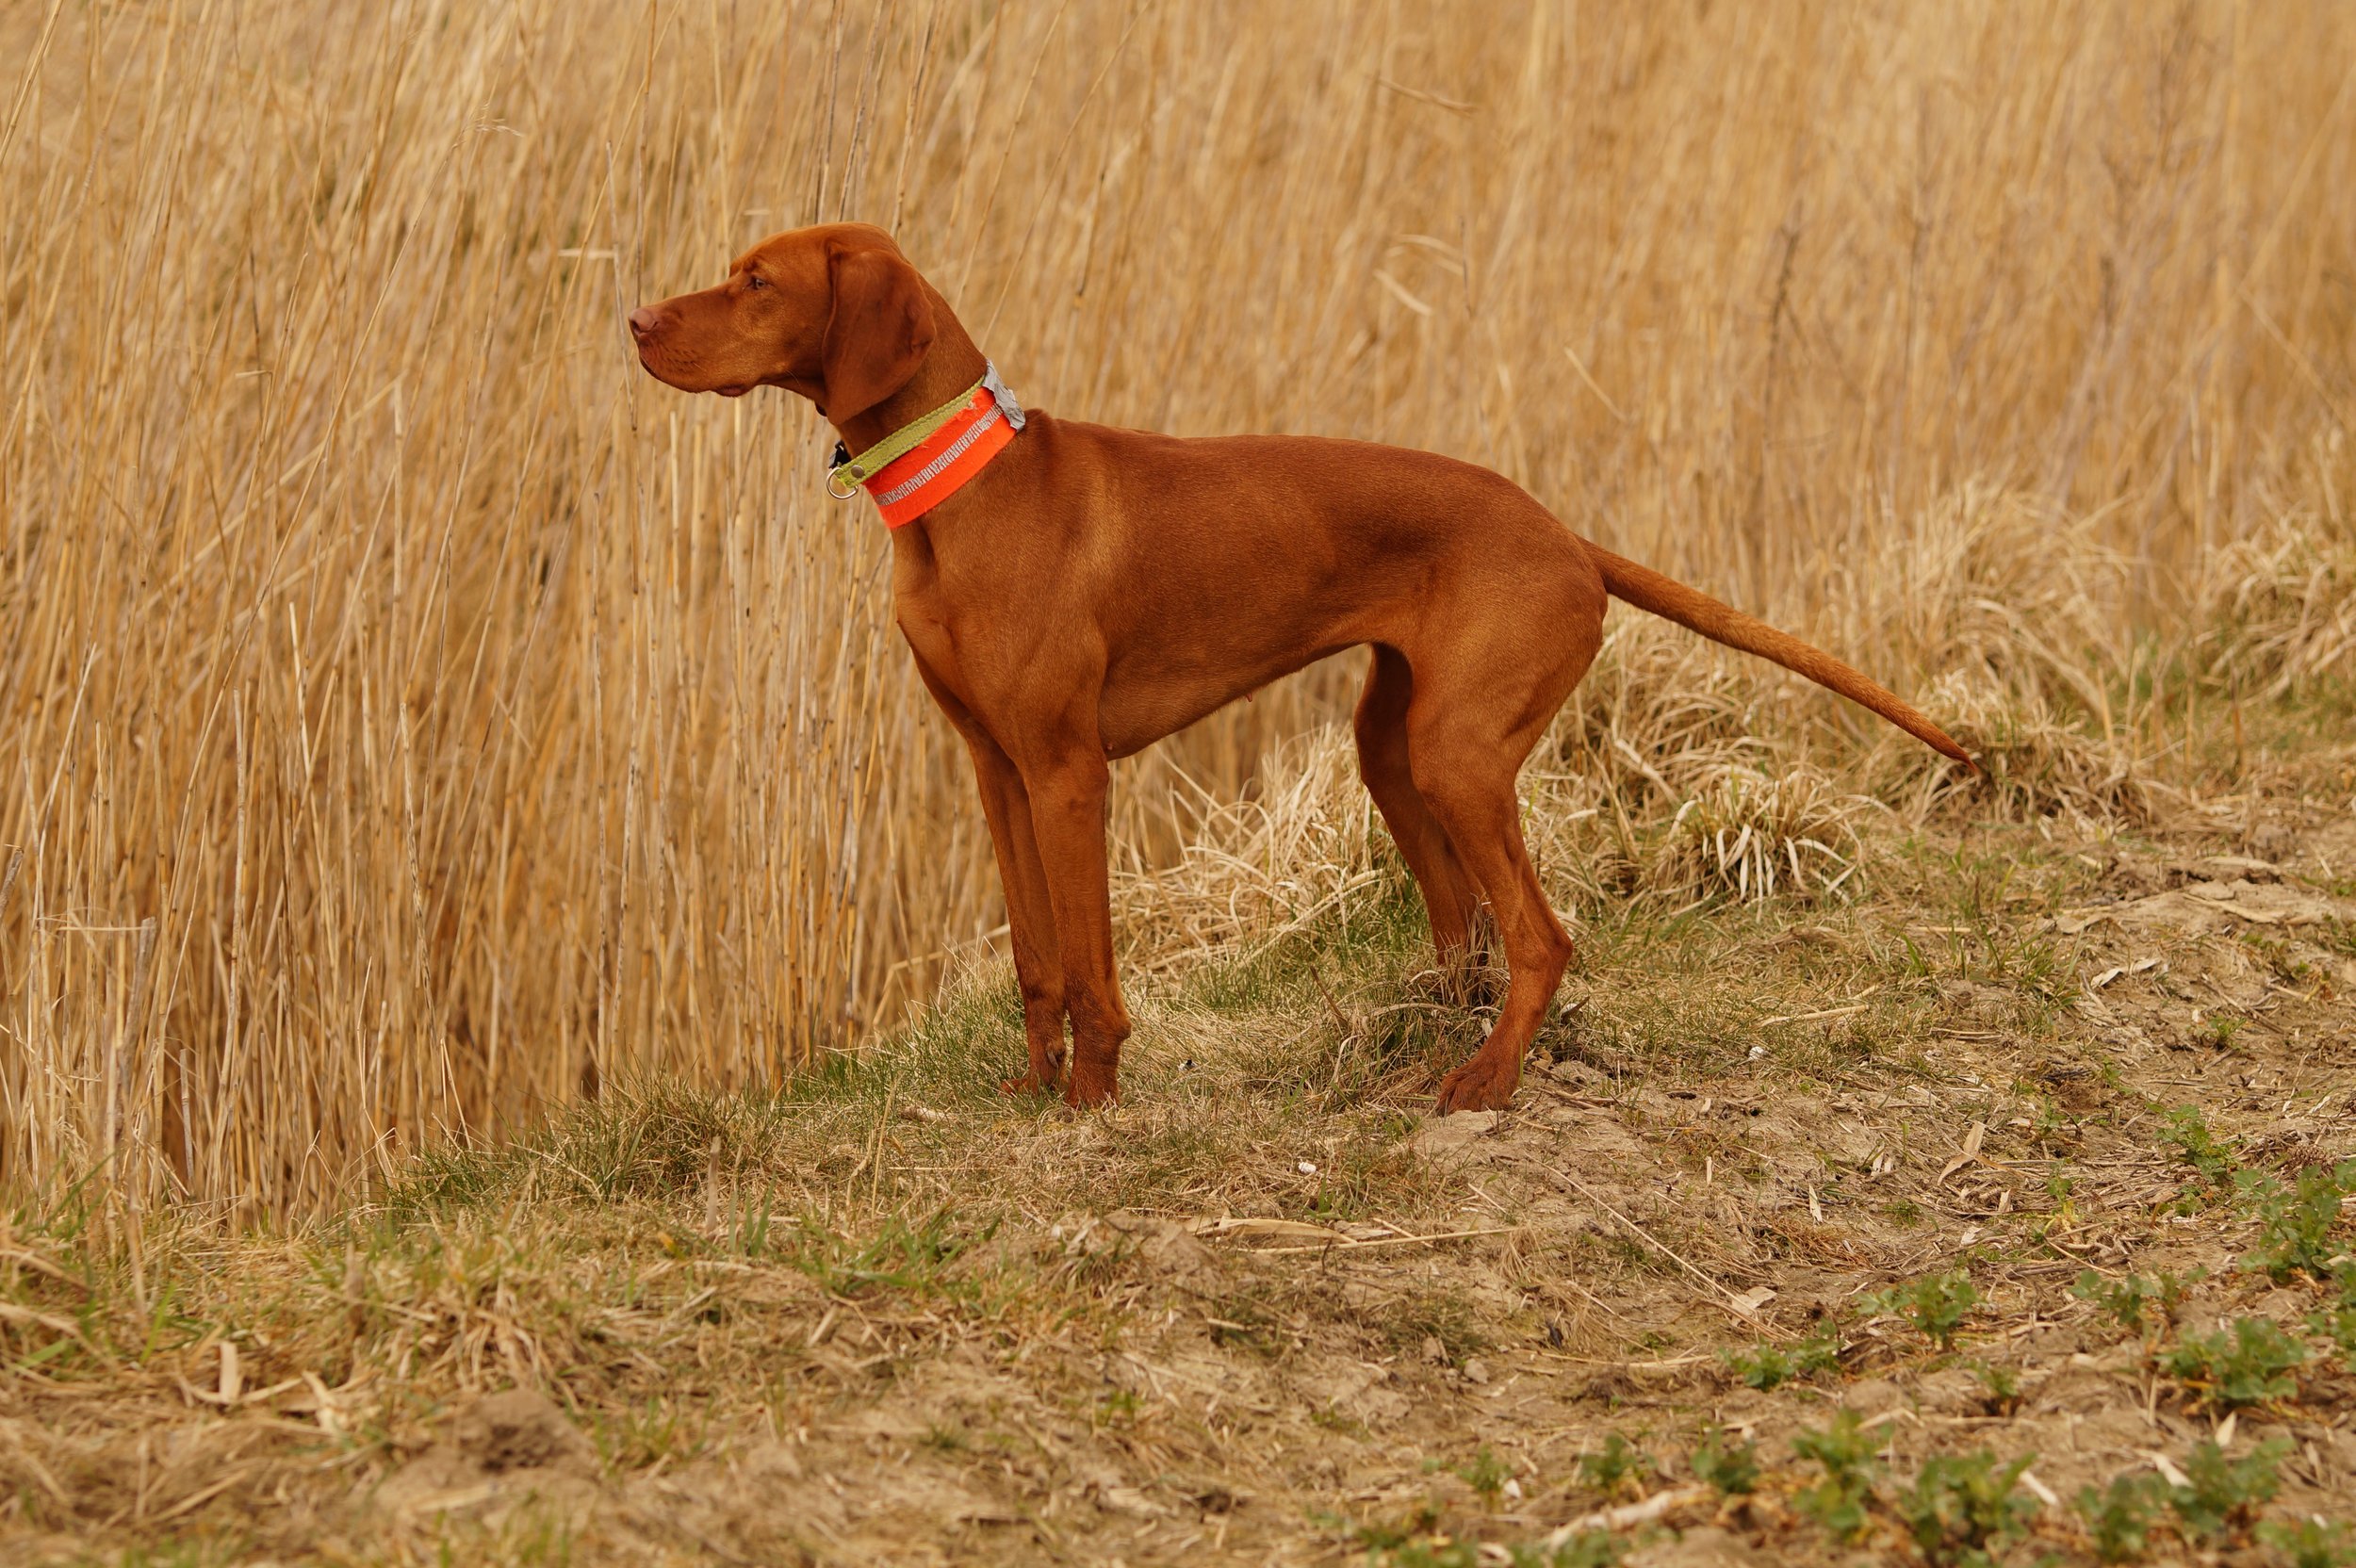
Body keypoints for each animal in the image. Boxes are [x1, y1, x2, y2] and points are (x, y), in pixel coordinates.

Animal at [629, 223, 1970, 1114]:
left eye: (756, 282)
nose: (633, 322)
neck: (962, 493)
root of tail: (1564, 534)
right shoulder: (994, 772)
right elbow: (1034, 958)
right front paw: (1030, 1085)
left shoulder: (1068, 772)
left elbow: (1093, 963)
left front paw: (1091, 1101)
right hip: (1396, 752)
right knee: (1462, 928)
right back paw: (1419, 1037)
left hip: (1459, 753)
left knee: (1539, 937)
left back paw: (1481, 1081)